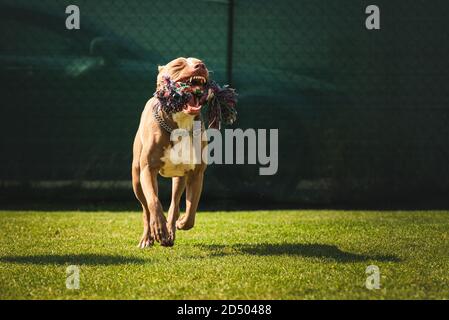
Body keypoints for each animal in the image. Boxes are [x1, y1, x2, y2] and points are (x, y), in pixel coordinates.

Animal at [131, 57, 208, 248]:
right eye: (178, 64)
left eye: (200, 62)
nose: (201, 66)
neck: (180, 122)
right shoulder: (147, 170)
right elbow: (154, 202)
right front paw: (159, 228)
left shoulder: (197, 174)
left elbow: (191, 209)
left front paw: (181, 223)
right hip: (136, 178)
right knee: (146, 208)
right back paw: (148, 237)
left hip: (179, 178)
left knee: (174, 204)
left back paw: (171, 230)